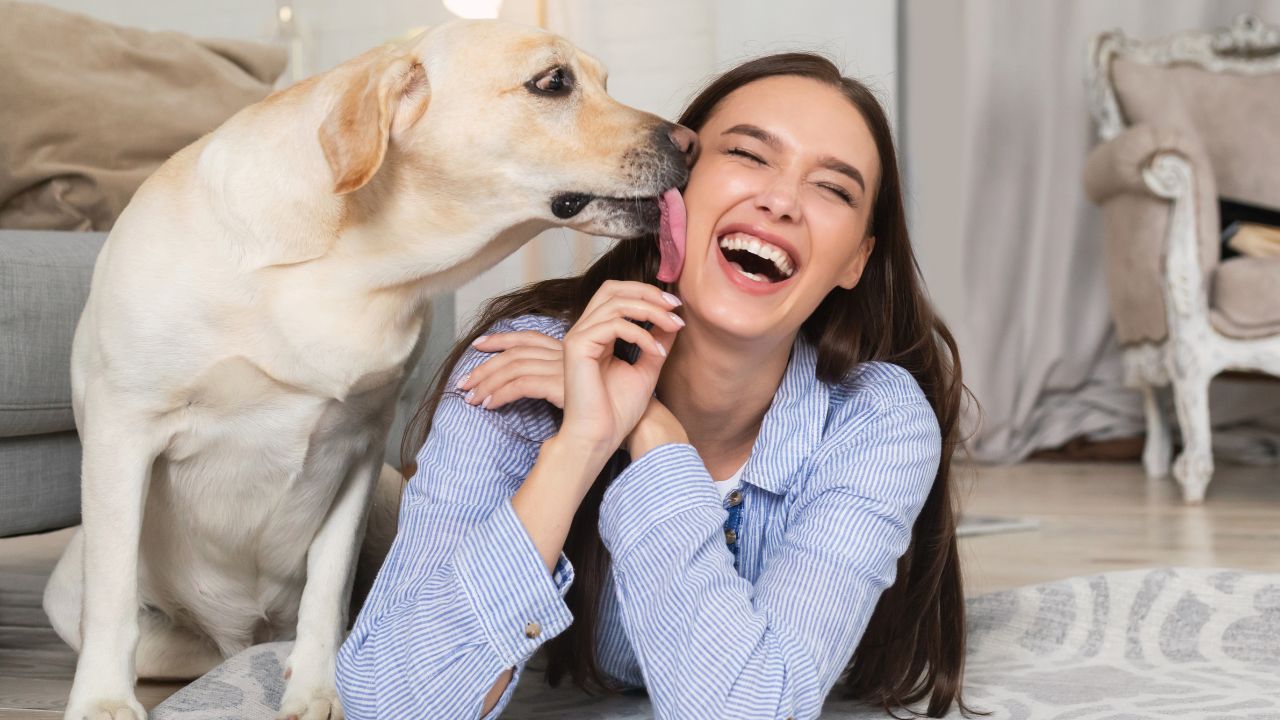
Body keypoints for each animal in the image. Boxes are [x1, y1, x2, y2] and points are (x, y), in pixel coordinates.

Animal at [45, 18, 696, 717]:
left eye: (604, 80)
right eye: (552, 82)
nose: (690, 141)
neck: (352, 266)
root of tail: (246, 632)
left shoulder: (359, 442)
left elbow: (328, 586)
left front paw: (317, 685)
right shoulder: (124, 427)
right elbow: (113, 597)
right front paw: (103, 701)